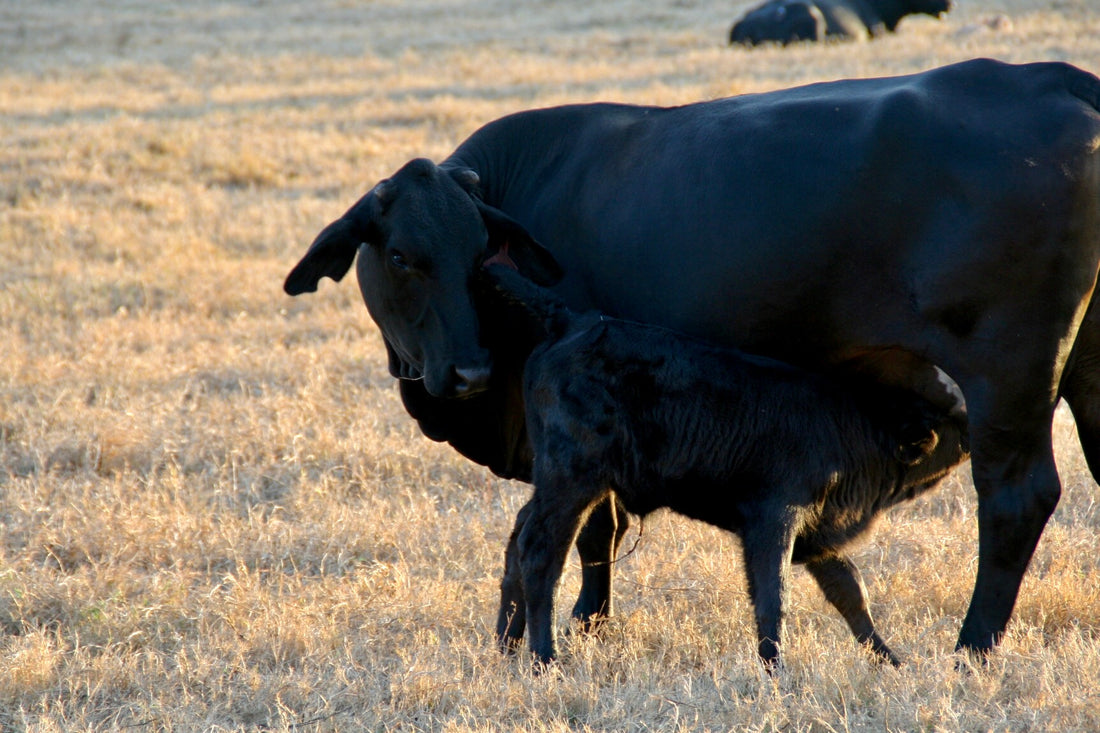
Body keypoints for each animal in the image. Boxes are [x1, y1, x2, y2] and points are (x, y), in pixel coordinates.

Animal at [486, 265, 968, 664]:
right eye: (957, 418)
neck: (852, 424)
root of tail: (576, 321)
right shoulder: (774, 519)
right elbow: (773, 596)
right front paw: (775, 669)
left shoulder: (818, 533)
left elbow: (850, 591)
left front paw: (890, 660)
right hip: (571, 481)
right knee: (541, 553)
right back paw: (544, 658)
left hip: (557, 484)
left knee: (517, 541)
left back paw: (507, 648)